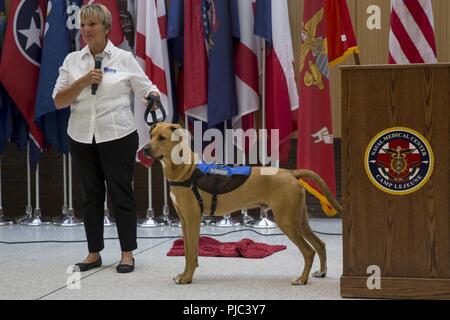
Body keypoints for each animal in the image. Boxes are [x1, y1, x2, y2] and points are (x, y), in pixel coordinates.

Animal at [144, 122, 342, 284]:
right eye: (151, 135)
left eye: (162, 138)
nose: (144, 149)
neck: (185, 170)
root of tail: (291, 173)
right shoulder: (185, 221)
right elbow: (187, 252)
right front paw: (184, 275)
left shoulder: (193, 220)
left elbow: (192, 253)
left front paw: (187, 278)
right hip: (299, 219)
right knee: (320, 244)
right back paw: (321, 271)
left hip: (287, 221)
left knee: (309, 251)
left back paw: (302, 279)